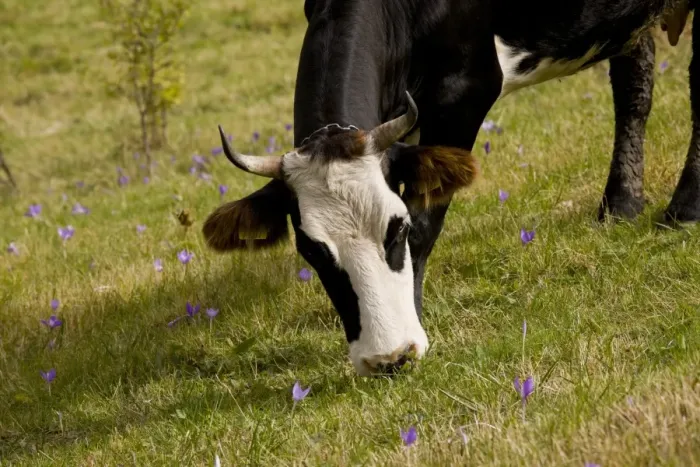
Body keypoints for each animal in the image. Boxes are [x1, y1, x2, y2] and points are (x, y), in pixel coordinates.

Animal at [203, 0, 698, 376]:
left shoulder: (465, 90)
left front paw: (415, 325)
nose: (386, 359)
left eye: (397, 228)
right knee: (634, 77)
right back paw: (621, 203)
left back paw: (684, 208)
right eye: (311, 251)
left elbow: (428, 224)